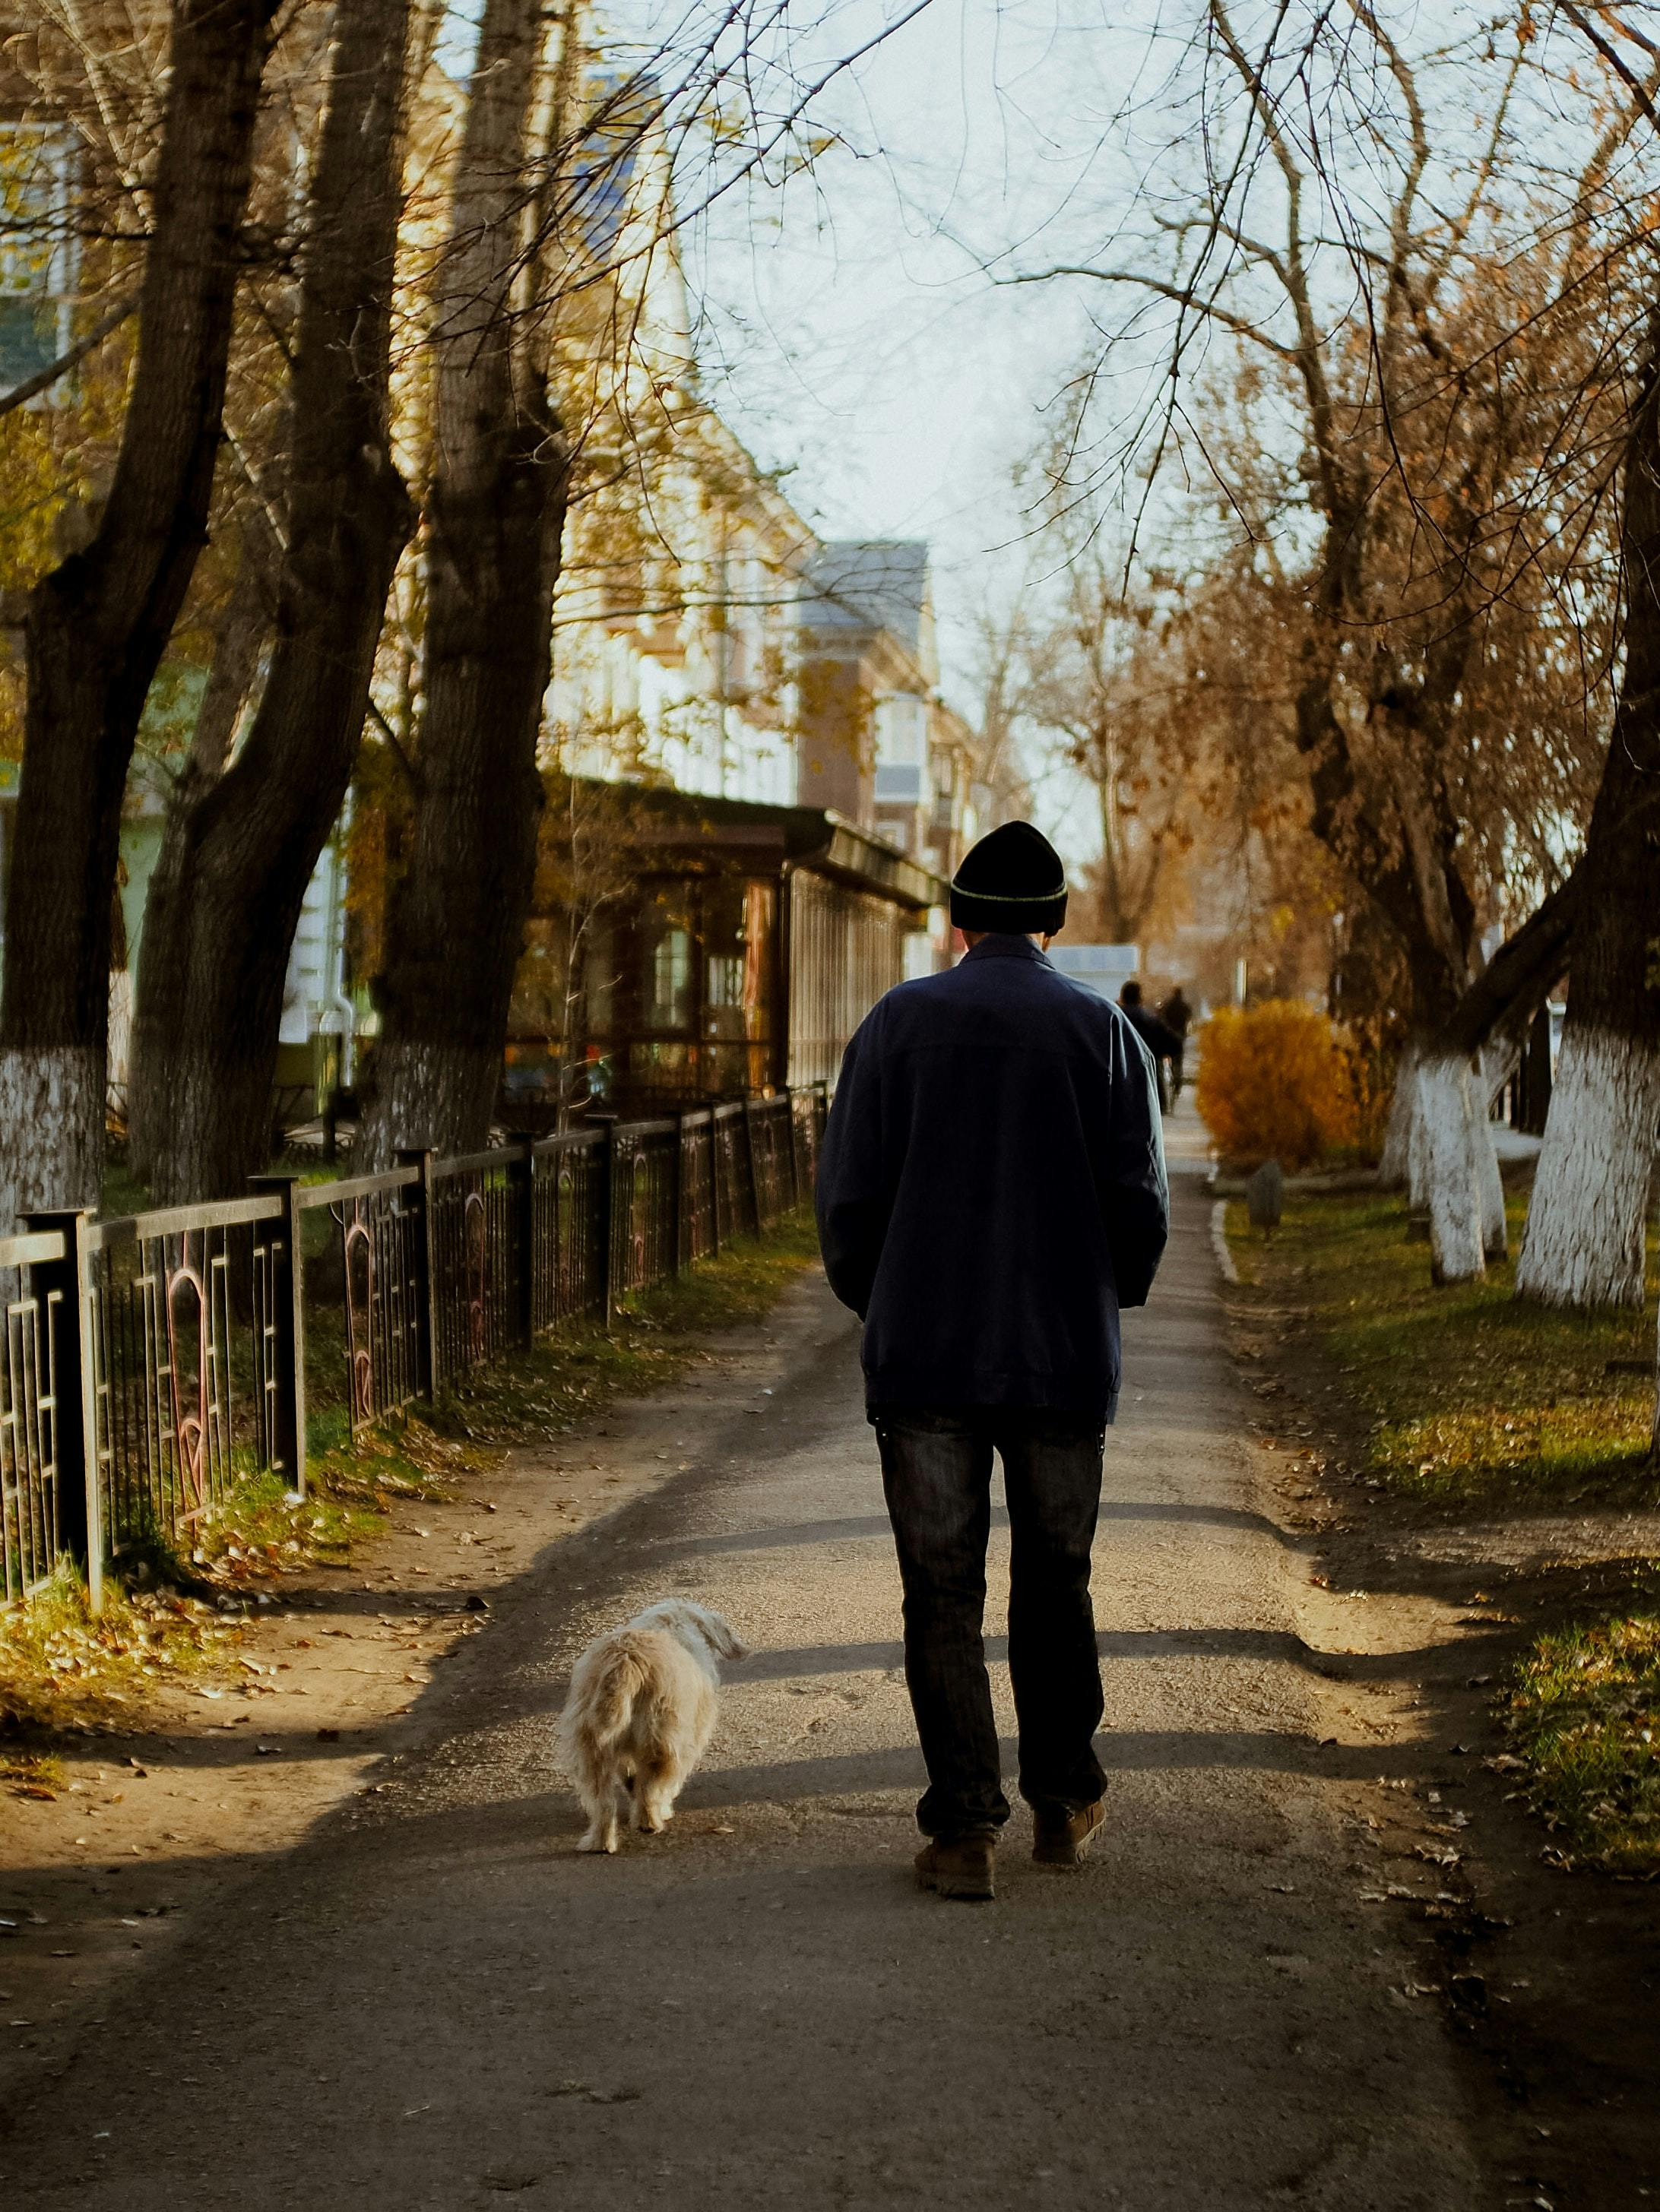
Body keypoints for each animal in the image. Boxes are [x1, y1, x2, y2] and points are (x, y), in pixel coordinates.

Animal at [559, 1601, 748, 1858]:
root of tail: (626, 1661)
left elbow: (630, 1779)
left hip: (591, 1748)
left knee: (604, 1803)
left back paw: (601, 1842)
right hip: (659, 1739)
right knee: (650, 1786)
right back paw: (649, 1822)